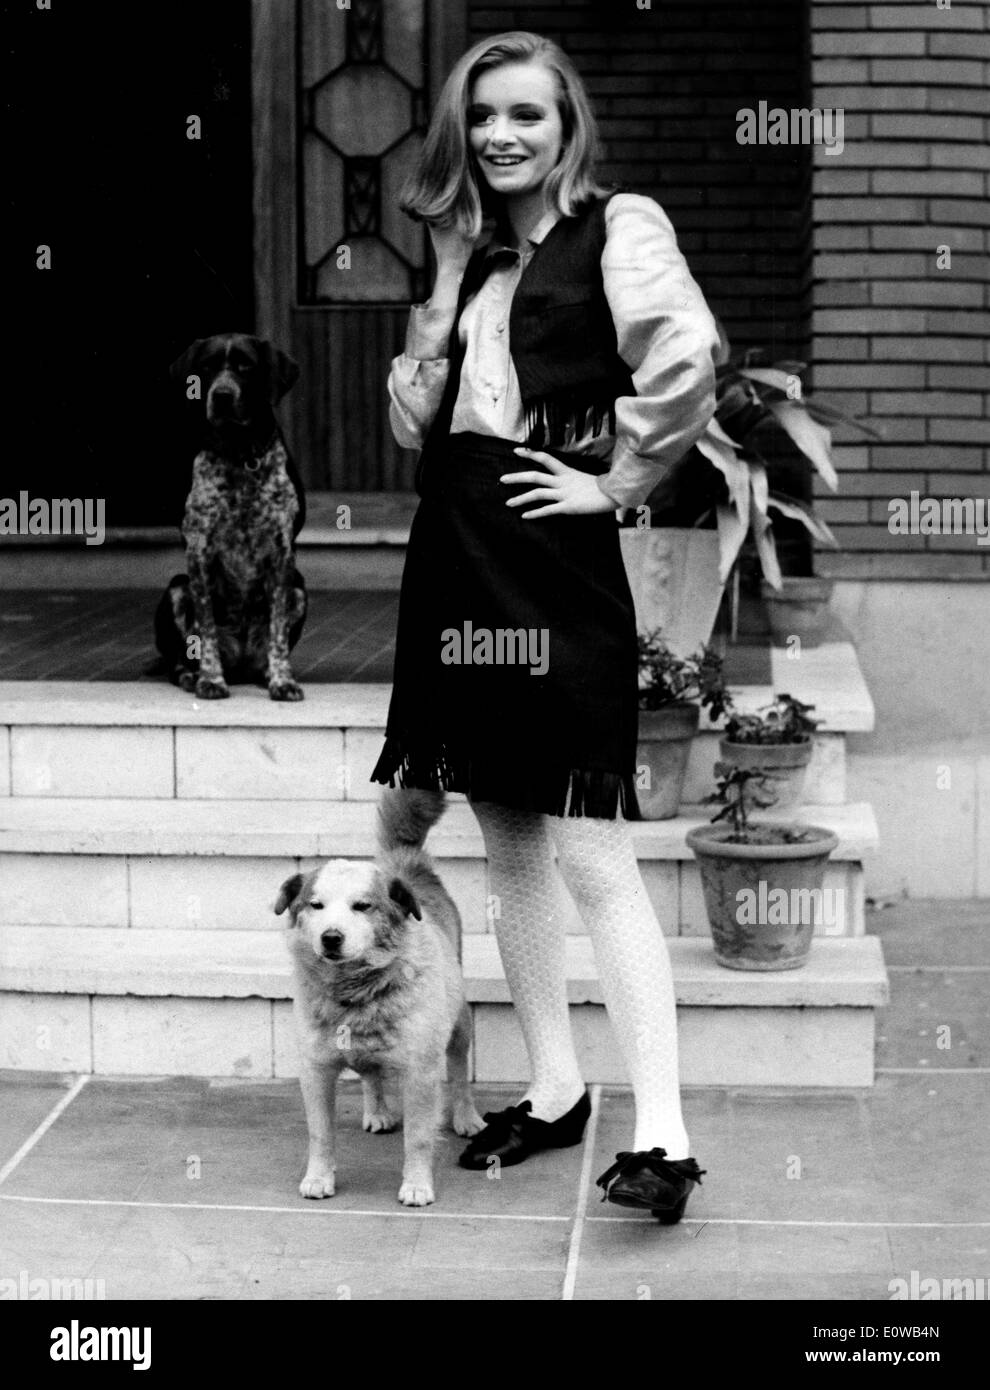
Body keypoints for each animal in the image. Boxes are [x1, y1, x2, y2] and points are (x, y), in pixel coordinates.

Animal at [154, 330, 307, 700]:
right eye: (208, 367)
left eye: (245, 366)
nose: (222, 396)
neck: (240, 452)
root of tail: (239, 661)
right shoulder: (199, 551)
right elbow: (206, 628)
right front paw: (211, 679)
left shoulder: (282, 552)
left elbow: (278, 630)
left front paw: (282, 680)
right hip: (176, 587)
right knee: (178, 659)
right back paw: (192, 675)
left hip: (299, 588)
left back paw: (265, 672)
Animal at [273, 795, 483, 1206]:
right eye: (315, 905)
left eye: (362, 906)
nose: (330, 937)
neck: (355, 991)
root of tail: (402, 861)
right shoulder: (315, 1069)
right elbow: (320, 1134)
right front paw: (318, 1178)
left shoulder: (420, 1072)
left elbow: (418, 1138)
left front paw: (416, 1185)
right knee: (369, 1072)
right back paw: (378, 1111)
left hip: (460, 1023)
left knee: (459, 1070)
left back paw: (466, 1117)